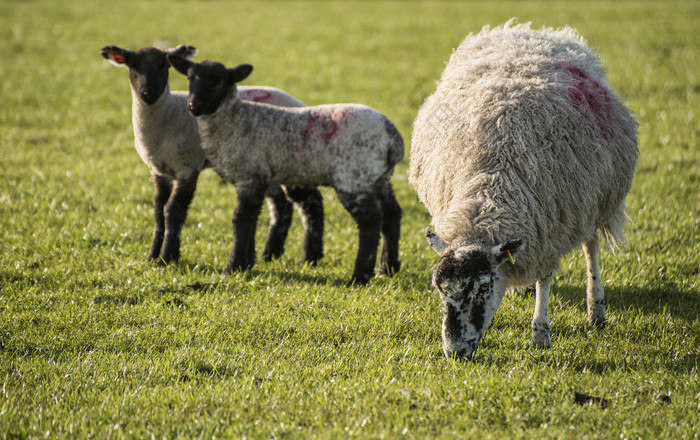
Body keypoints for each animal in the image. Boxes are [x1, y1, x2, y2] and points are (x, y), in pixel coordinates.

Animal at [100, 45, 324, 264]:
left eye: (163, 66)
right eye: (133, 67)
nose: (149, 93)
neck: (169, 115)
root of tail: (300, 103)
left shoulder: (187, 167)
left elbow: (173, 210)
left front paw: (167, 257)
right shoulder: (159, 171)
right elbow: (158, 211)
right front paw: (152, 255)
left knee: (311, 201)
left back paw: (310, 257)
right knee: (282, 205)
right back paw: (270, 255)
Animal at [166, 55, 402, 284]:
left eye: (219, 82)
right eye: (190, 78)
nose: (194, 106)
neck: (235, 120)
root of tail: (391, 136)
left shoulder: (249, 176)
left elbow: (240, 219)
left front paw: (233, 267)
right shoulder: (260, 179)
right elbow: (252, 219)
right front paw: (246, 264)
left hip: (353, 178)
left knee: (371, 221)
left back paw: (360, 276)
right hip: (379, 178)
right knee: (392, 214)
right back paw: (387, 268)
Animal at [410, 20, 640, 360]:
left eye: (483, 287)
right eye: (439, 288)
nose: (455, 351)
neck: (489, 190)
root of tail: (531, 32)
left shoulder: (551, 227)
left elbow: (546, 278)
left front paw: (540, 334)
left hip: (591, 201)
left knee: (591, 247)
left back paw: (596, 310)